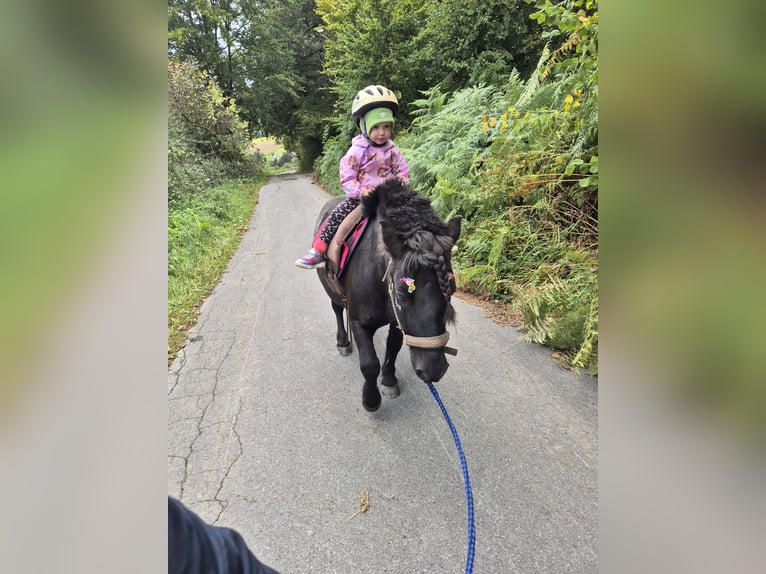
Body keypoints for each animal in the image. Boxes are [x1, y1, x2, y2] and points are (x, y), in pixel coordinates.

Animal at [316, 178, 462, 412]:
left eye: (451, 290)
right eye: (402, 295)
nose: (433, 370)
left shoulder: (397, 321)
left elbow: (392, 348)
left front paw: (389, 381)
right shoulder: (358, 321)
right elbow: (369, 364)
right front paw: (371, 400)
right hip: (331, 290)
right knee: (337, 309)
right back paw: (343, 343)